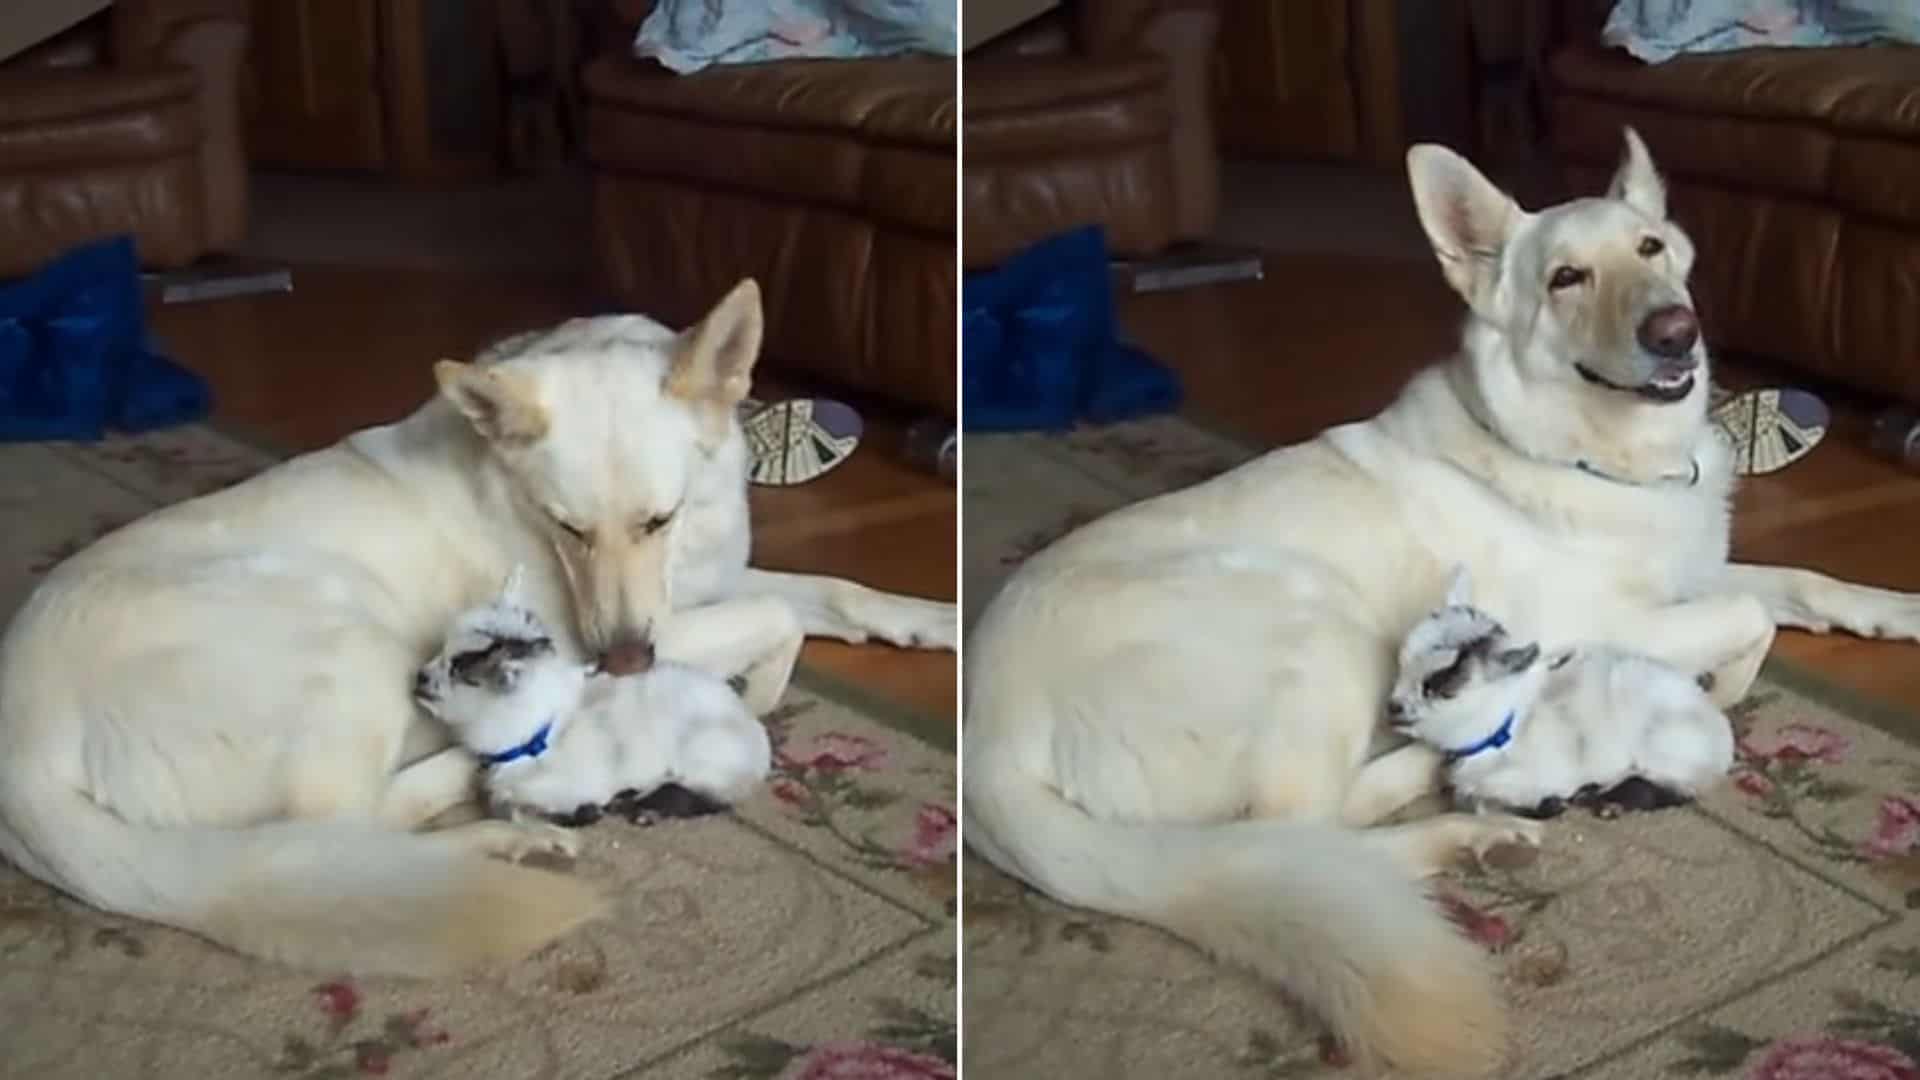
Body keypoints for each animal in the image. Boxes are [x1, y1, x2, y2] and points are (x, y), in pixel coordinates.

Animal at [0, 276, 956, 976]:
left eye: (658, 518)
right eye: (570, 528)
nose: (622, 662)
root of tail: (23, 760)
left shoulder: (692, 590)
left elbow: (830, 591)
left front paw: (931, 620)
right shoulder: (624, 633)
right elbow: (773, 616)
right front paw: (758, 691)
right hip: (350, 645)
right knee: (345, 828)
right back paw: (499, 813)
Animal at [967, 130, 1920, 1068]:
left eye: (1650, 249)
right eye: (1566, 278)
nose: (1674, 331)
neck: (1589, 453)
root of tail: (989, 743)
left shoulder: (1689, 574)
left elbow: (1800, 583)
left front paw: (1895, 610)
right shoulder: (1606, 623)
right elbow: (1748, 621)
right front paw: (1721, 687)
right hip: (1317, 622)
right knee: (1301, 835)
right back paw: (1455, 818)